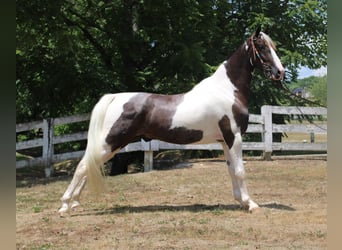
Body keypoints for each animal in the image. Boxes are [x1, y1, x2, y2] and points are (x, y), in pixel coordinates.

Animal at [59, 26, 286, 215]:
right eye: (262, 47)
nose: (280, 72)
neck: (227, 90)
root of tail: (114, 97)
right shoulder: (234, 137)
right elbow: (240, 171)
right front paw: (251, 204)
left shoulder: (224, 141)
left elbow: (231, 169)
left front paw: (240, 201)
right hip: (110, 143)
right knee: (82, 166)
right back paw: (64, 206)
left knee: (88, 165)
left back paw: (74, 203)